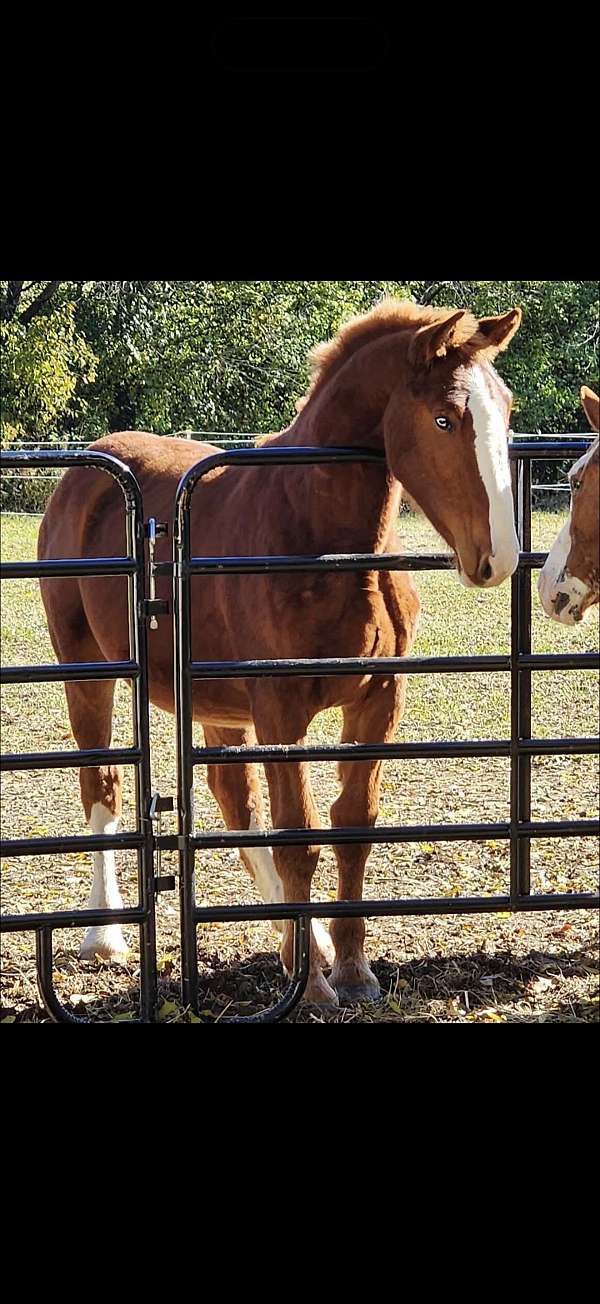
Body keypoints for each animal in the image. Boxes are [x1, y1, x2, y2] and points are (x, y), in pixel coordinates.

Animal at [38, 298, 522, 1007]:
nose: (499, 557)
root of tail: (90, 468)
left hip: (215, 702)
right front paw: (314, 988)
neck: (320, 539)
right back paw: (106, 936)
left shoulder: (378, 701)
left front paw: (350, 969)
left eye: (505, 410)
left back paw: (304, 939)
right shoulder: (281, 708)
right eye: (444, 418)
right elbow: (299, 837)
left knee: (232, 797)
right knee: (102, 783)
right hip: (89, 672)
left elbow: (352, 824)